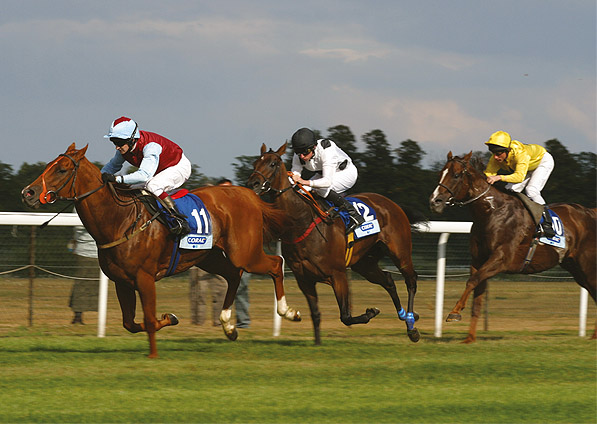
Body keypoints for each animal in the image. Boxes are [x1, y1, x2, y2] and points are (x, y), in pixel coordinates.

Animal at [21, 144, 300, 356]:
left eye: (62, 169)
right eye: (49, 165)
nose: (28, 192)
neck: (120, 219)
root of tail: (249, 195)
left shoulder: (144, 278)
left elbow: (148, 319)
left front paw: (154, 353)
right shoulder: (122, 281)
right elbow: (131, 323)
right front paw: (170, 319)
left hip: (244, 252)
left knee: (275, 263)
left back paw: (288, 312)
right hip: (206, 256)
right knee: (233, 275)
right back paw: (228, 327)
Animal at [247, 142, 424, 344]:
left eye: (273, 164)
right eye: (255, 163)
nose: (252, 184)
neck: (301, 222)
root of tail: (393, 205)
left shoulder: (338, 274)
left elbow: (345, 316)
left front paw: (371, 312)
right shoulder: (304, 279)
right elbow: (316, 314)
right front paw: (317, 343)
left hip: (400, 252)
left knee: (411, 280)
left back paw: (411, 324)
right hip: (365, 263)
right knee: (388, 280)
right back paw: (404, 315)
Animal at [430, 152, 592, 342]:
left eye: (456, 175)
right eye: (440, 173)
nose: (434, 201)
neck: (491, 212)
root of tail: (590, 212)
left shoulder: (501, 258)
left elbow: (472, 281)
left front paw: (454, 312)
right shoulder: (478, 260)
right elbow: (477, 295)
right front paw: (469, 338)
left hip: (587, 265)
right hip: (574, 266)